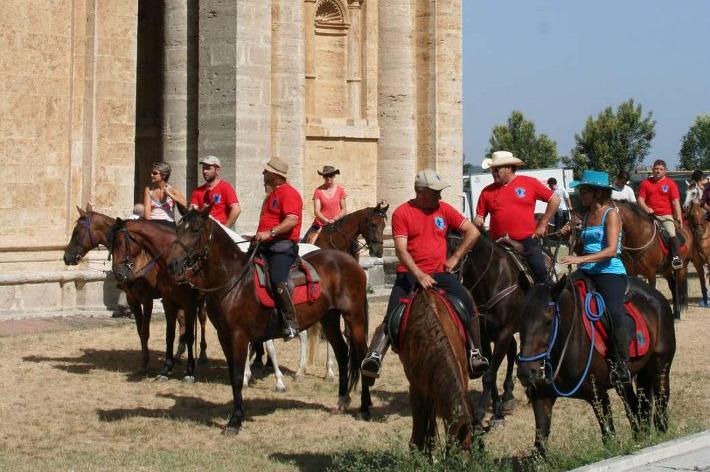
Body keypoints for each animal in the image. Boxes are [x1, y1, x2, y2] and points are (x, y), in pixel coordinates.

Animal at [163, 207, 370, 432]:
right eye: (178, 229)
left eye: (195, 230)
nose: (173, 264)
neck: (233, 280)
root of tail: (351, 262)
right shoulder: (224, 336)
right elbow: (233, 374)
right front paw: (237, 414)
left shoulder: (239, 336)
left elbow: (238, 375)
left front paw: (235, 420)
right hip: (329, 319)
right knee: (342, 353)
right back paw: (342, 400)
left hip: (354, 318)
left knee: (362, 357)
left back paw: (365, 408)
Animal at [516, 276, 680, 454]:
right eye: (520, 320)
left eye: (548, 321)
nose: (526, 372)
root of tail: (657, 297)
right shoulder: (542, 397)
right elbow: (540, 446)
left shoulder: (598, 395)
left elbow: (609, 436)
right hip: (627, 381)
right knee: (636, 409)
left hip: (660, 368)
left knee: (660, 405)